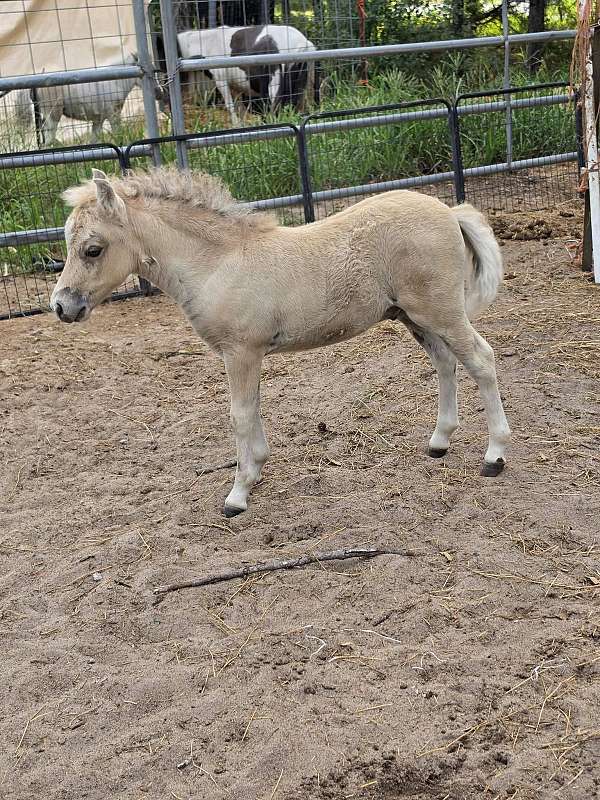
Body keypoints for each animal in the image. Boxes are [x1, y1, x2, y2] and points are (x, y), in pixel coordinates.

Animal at [51, 167, 511, 517]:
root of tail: (449, 211)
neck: (218, 264)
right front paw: (255, 472)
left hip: (441, 312)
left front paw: (237, 495)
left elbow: (239, 415)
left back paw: (494, 456)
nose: (61, 305)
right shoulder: (248, 354)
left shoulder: (240, 352)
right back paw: (439, 442)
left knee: (481, 359)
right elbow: (252, 410)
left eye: (93, 249)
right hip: (414, 317)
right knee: (446, 363)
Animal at [157, 25, 315, 123]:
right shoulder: (236, 85)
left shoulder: (220, 79)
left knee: (275, 107)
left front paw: (235, 124)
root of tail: (303, 43)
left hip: (275, 81)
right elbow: (239, 107)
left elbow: (229, 105)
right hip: (299, 82)